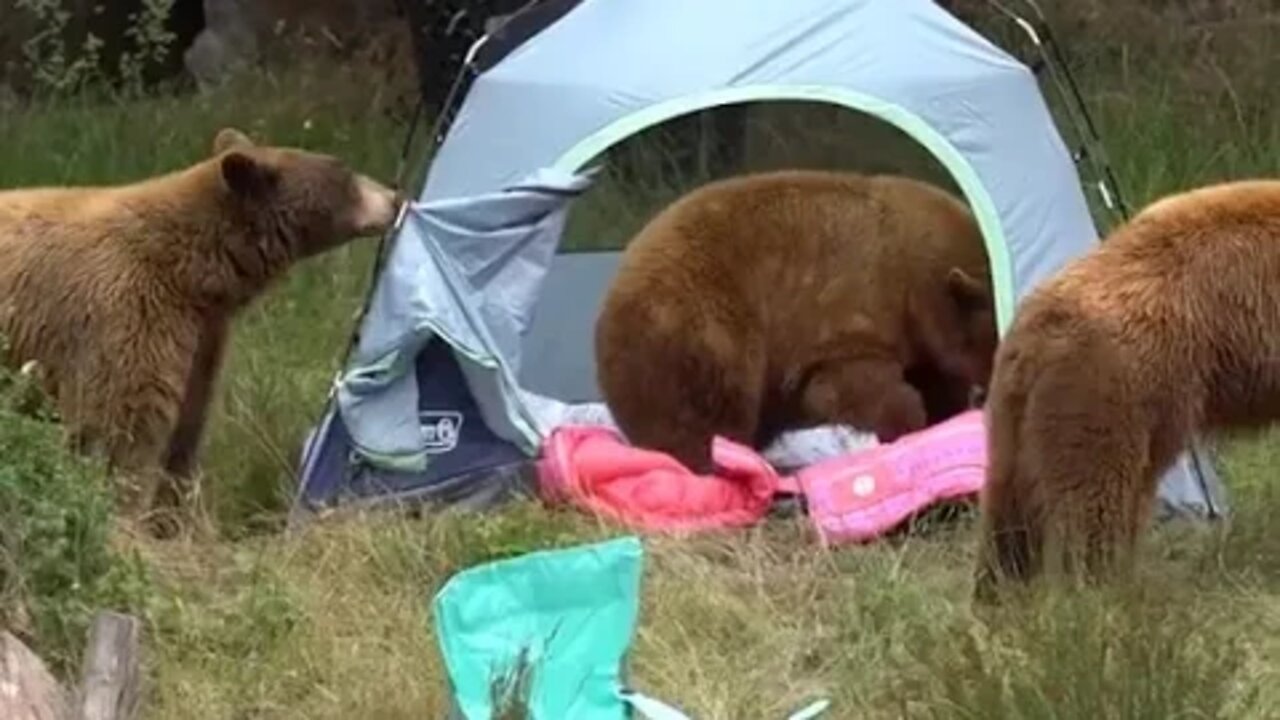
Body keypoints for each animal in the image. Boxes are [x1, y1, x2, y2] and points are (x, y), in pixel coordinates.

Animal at [0, 127, 396, 532]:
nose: (395, 198)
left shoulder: (204, 337)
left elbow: (187, 427)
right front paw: (119, 516)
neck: (194, 278)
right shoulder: (127, 313)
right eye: (344, 172)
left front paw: (169, 519)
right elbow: (118, 427)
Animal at [591, 167, 998, 471]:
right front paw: (906, 425)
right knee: (709, 410)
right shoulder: (850, 312)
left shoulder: (920, 340)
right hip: (698, 326)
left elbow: (936, 383)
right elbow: (850, 382)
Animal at [967, 179, 1280, 599]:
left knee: (1007, 509)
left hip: (1016, 416)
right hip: (1113, 392)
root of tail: (1038, 327)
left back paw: (1000, 594)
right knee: (1093, 504)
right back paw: (1102, 593)